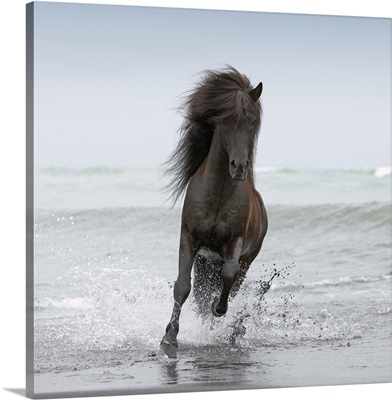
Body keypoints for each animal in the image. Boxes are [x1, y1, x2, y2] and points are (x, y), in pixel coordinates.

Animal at [161, 66, 268, 360]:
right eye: (226, 120)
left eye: (252, 122)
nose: (239, 167)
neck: (218, 193)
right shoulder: (189, 238)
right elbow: (181, 287)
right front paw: (169, 338)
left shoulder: (235, 243)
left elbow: (228, 276)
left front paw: (216, 309)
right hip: (204, 260)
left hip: (245, 260)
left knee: (231, 284)